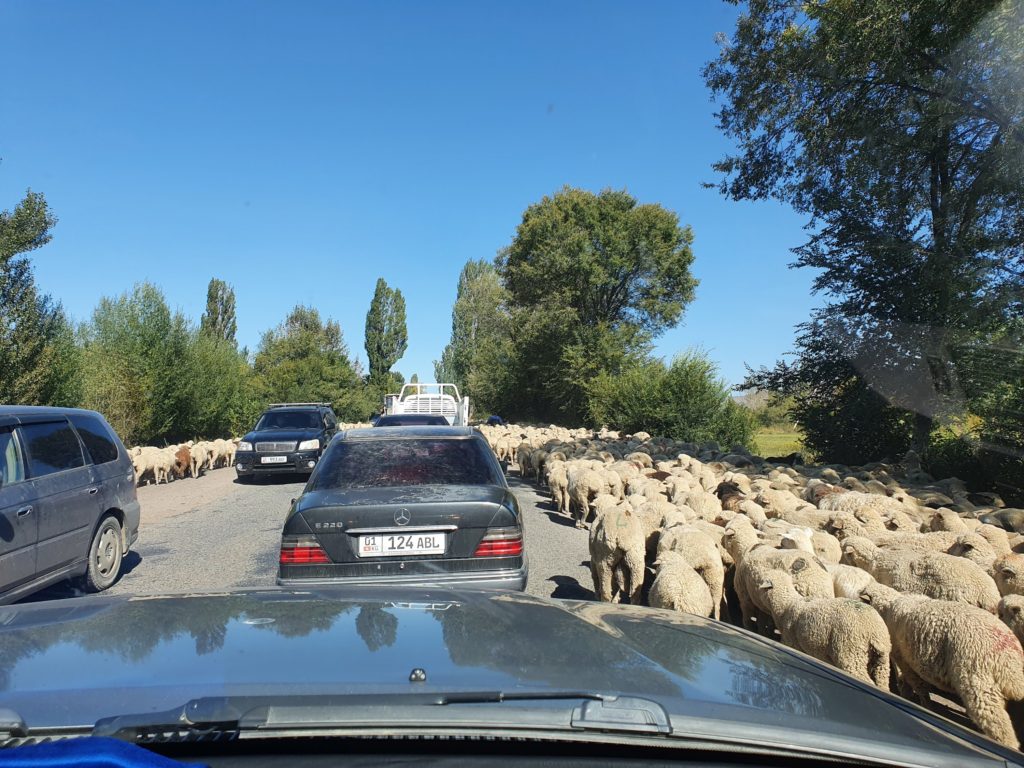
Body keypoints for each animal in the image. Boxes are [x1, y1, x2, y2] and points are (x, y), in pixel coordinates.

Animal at [757, 573, 892, 692]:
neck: (786, 606)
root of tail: (874, 632)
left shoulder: (791, 643)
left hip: (851, 653)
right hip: (882, 663)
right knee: (883, 684)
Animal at [864, 585, 1024, 749]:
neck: (891, 605)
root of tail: (1011, 662)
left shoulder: (903, 658)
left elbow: (916, 684)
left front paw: (919, 702)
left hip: (978, 683)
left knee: (1000, 728)